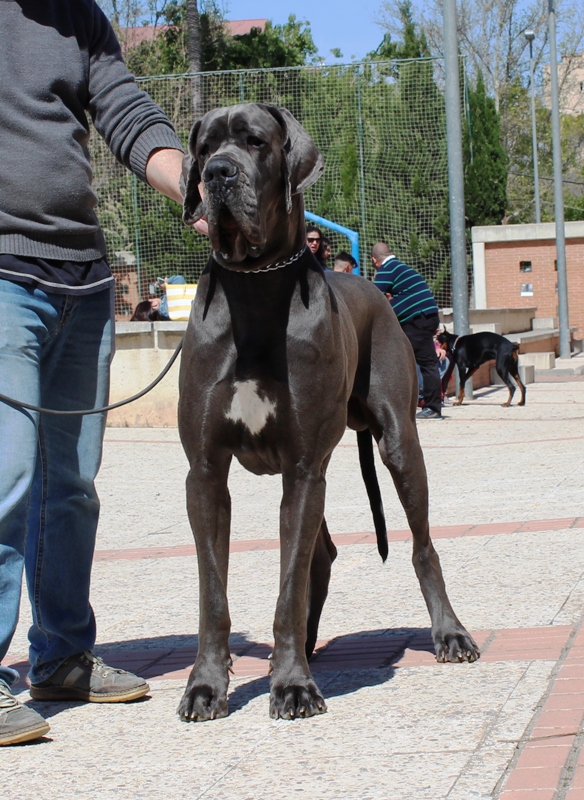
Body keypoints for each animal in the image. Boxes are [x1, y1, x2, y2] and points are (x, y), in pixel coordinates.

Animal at [177, 103, 480, 720]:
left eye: (255, 141)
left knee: (421, 546)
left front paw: (292, 686)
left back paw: (448, 633)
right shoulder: (206, 473)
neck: (255, 289)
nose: (217, 174)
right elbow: (213, 591)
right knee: (321, 554)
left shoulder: (301, 467)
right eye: (203, 147)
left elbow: (287, 585)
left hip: (396, 445)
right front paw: (206, 685)